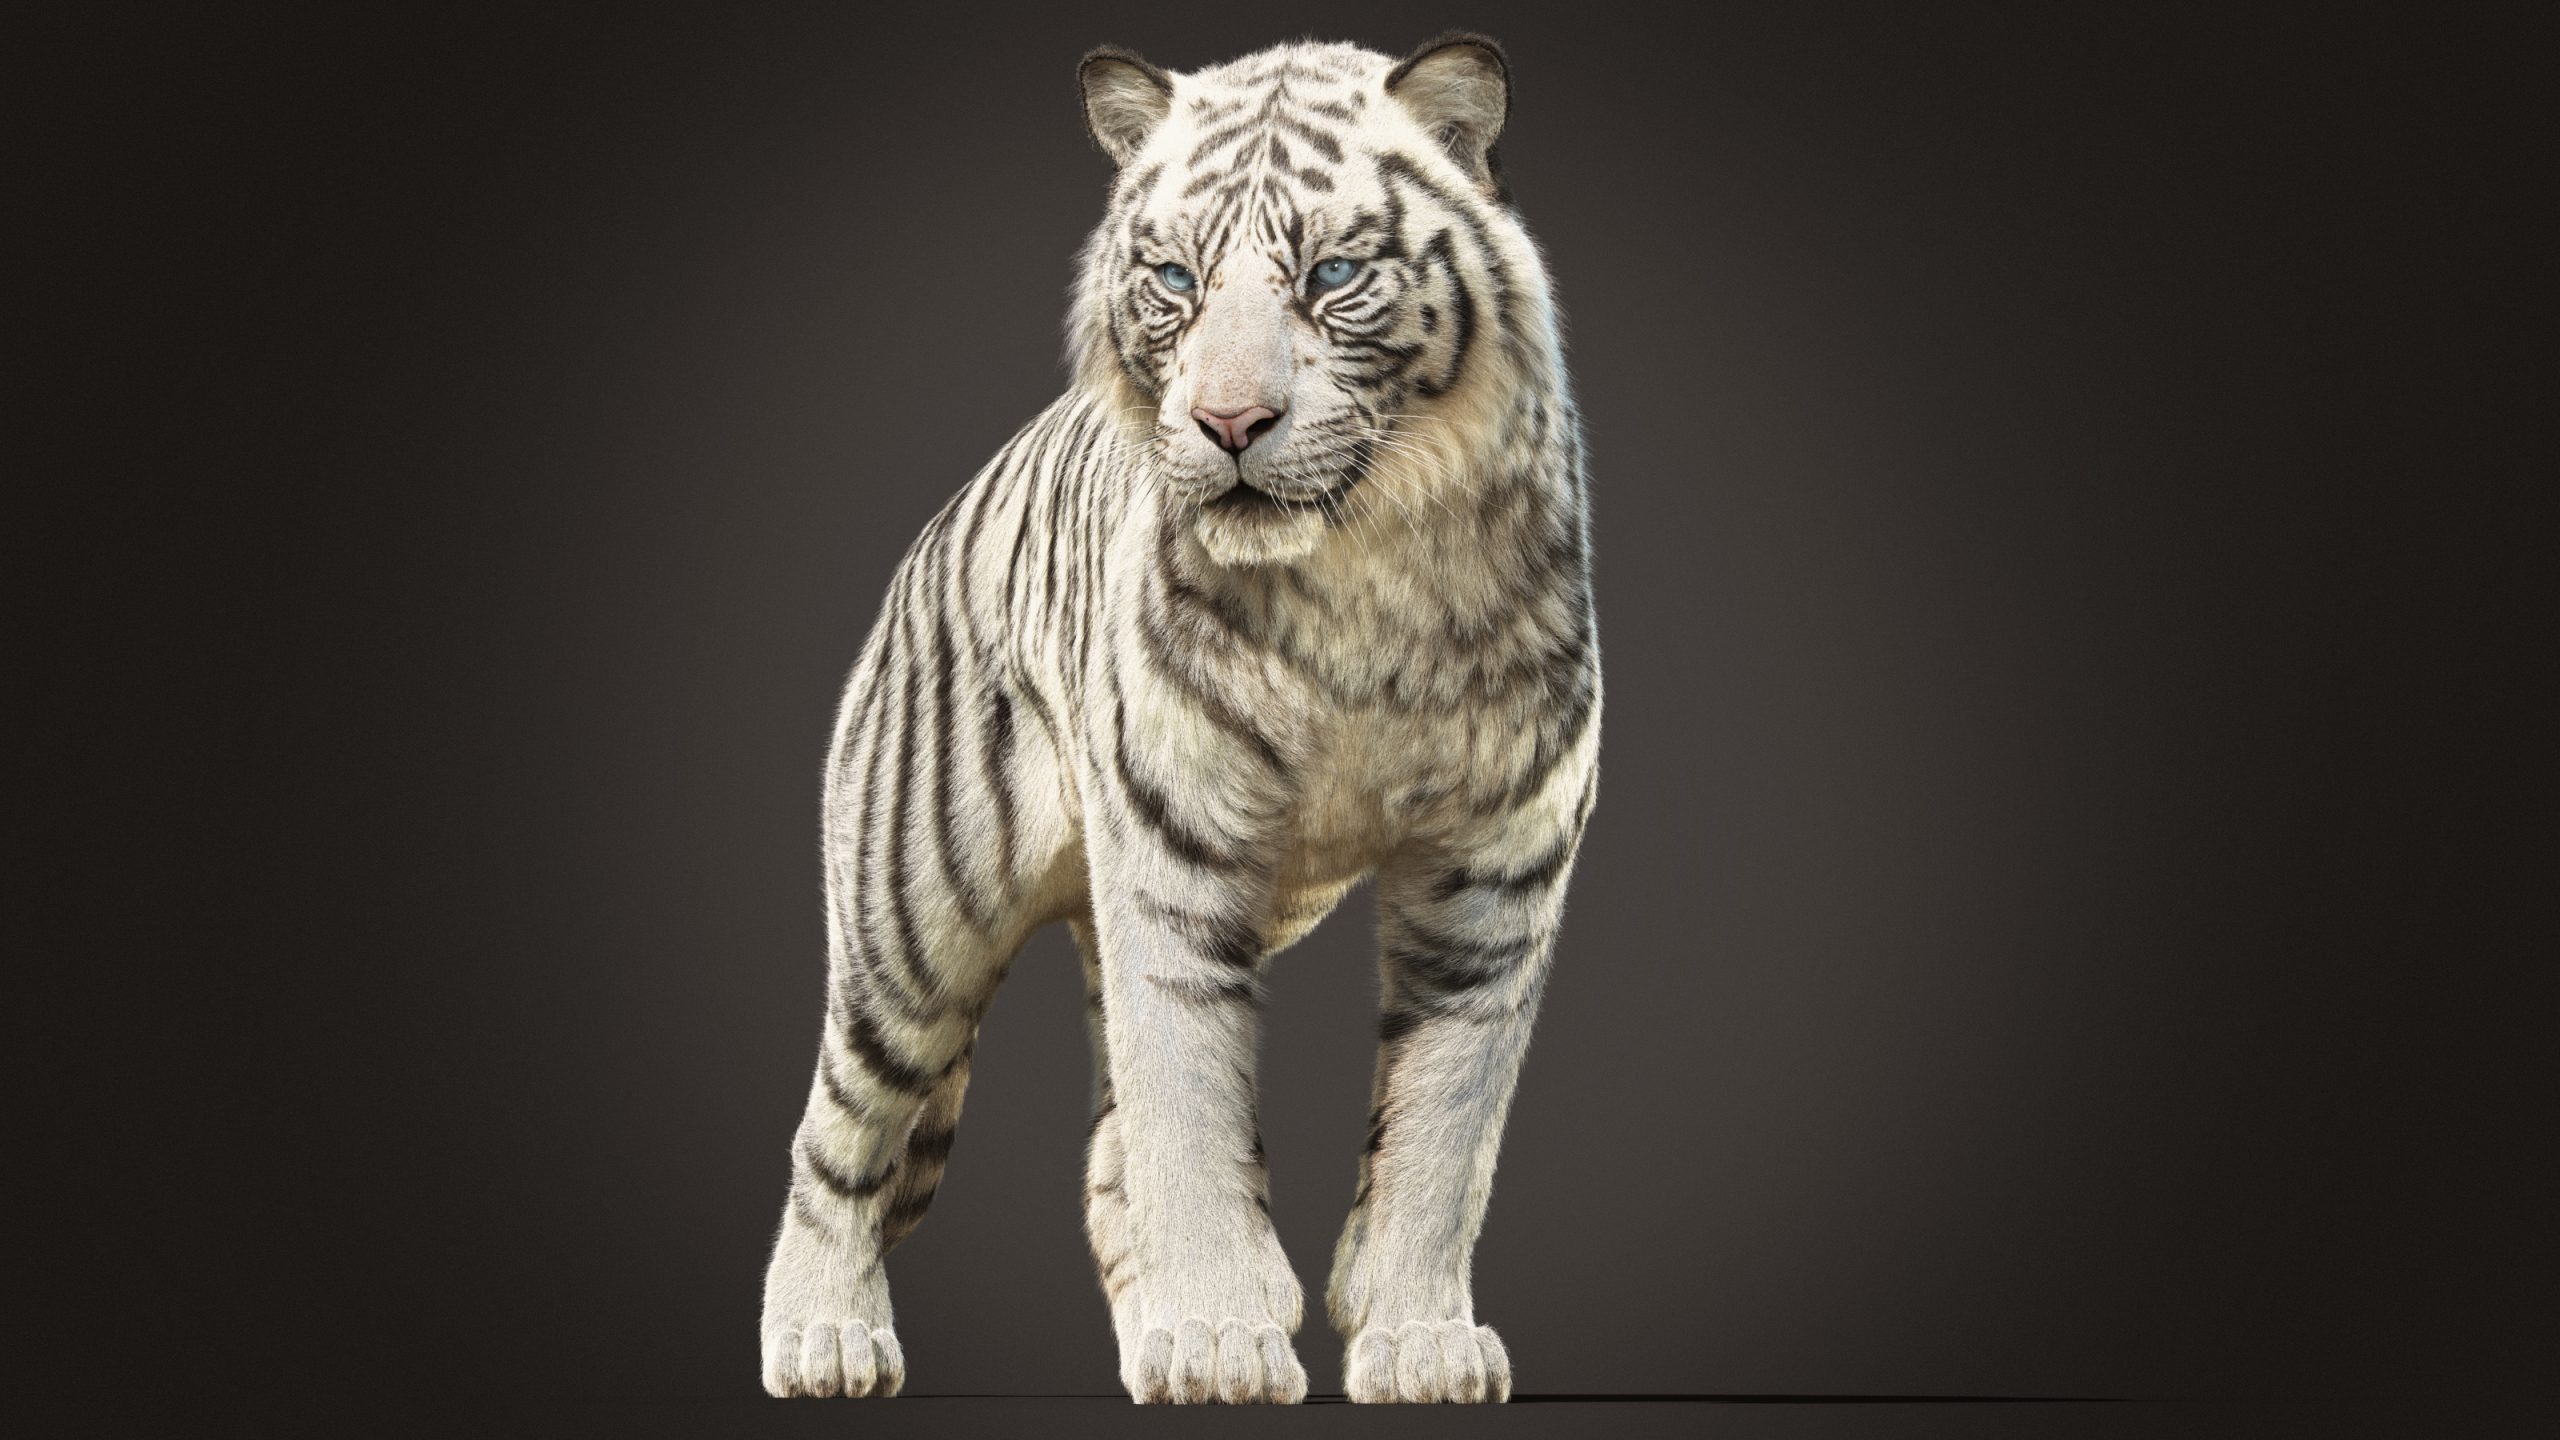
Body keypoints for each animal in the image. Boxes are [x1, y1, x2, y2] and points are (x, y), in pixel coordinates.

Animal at [757, 33, 1598, 1404]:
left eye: (1332, 275)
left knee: (1107, 1160)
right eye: (1172, 280)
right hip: (914, 918)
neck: (1362, 582)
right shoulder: (1174, 847)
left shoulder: (1494, 872)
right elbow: (1192, 1115)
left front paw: (1415, 1342)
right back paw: (826, 1340)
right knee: (839, 1129)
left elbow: (1440, 1135)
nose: (1229, 424)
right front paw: (1218, 1342)